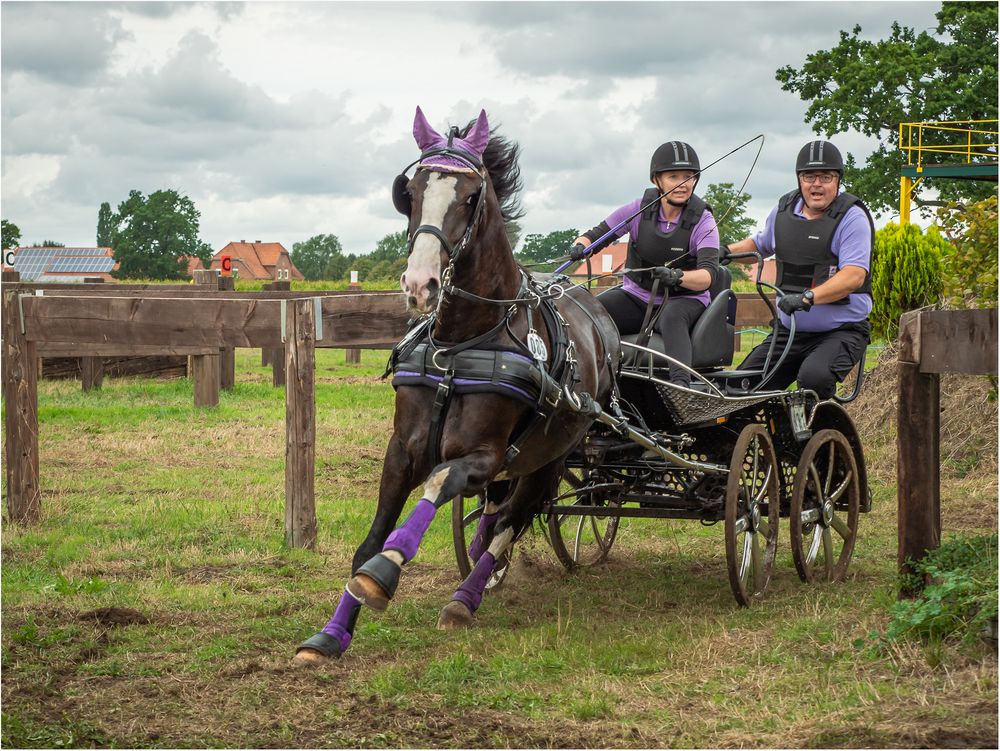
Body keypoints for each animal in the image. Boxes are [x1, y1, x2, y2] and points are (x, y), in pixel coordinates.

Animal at [292, 108, 616, 668]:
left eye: (470, 197)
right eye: (411, 191)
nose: (420, 285)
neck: (459, 343)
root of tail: (596, 313)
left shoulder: (481, 456)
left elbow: (436, 487)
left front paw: (383, 575)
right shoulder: (403, 447)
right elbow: (371, 539)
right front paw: (332, 633)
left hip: (550, 457)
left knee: (513, 518)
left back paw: (465, 598)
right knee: (497, 515)